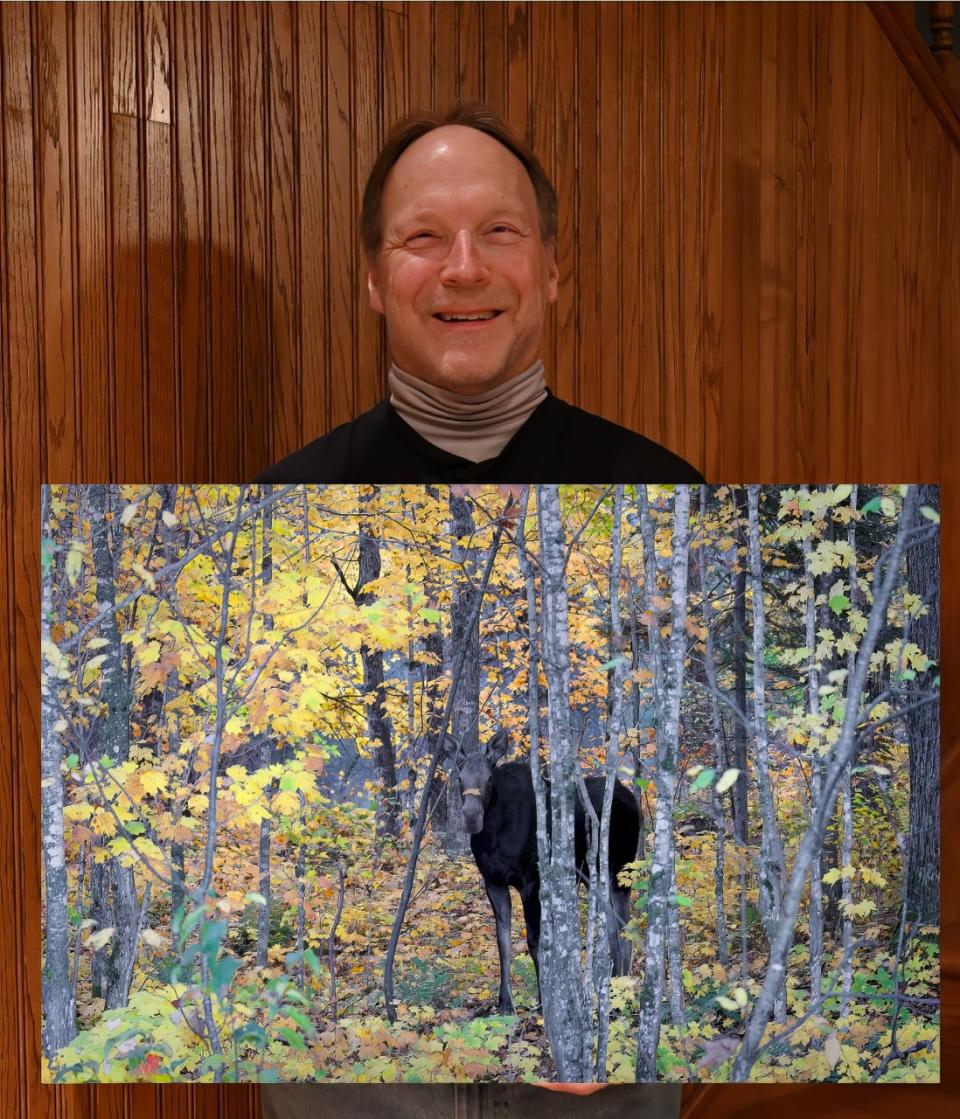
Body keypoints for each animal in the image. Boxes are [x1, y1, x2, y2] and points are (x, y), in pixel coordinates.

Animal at [454, 725, 640, 1016]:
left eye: (488, 778)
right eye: (460, 779)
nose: (472, 818)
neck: (493, 835)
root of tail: (629, 796)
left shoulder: (531, 882)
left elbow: (535, 942)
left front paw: (544, 1002)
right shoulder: (493, 882)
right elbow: (503, 944)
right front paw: (505, 1002)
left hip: (620, 872)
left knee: (624, 927)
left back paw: (621, 992)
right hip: (594, 876)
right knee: (613, 927)